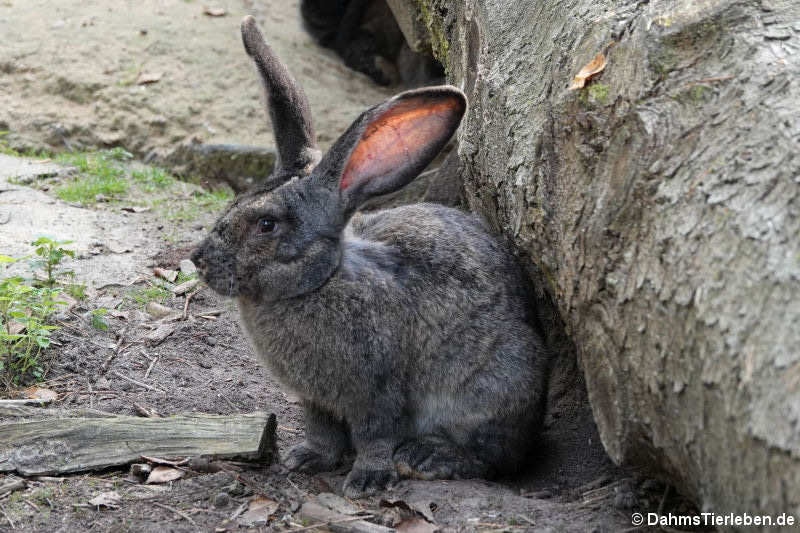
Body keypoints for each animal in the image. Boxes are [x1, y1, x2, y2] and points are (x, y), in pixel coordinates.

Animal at [191, 16, 552, 498]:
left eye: (267, 224)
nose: (200, 259)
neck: (321, 280)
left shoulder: (379, 392)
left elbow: (375, 435)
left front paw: (366, 480)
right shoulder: (318, 401)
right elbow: (322, 431)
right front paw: (306, 459)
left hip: (497, 383)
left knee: (493, 457)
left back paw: (429, 458)